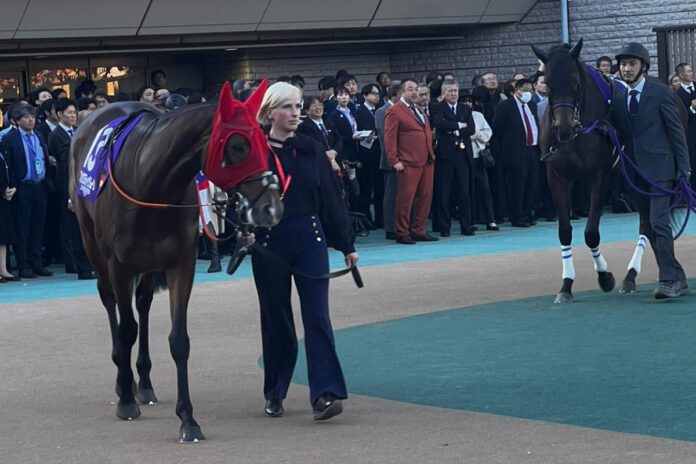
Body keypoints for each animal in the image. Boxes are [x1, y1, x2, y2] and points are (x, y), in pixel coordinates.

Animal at [532, 38, 616, 302]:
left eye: (575, 81)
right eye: (547, 84)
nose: (564, 128)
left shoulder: (600, 175)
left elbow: (591, 233)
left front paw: (605, 277)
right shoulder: (556, 177)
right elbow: (565, 231)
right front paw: (566, 285)